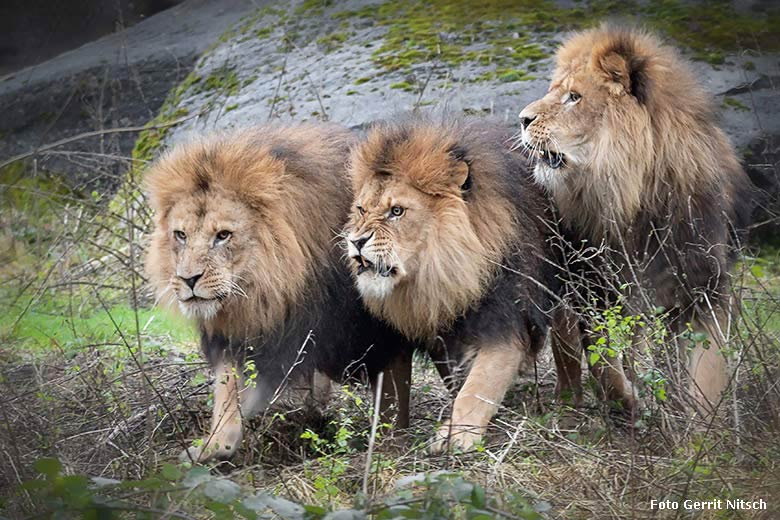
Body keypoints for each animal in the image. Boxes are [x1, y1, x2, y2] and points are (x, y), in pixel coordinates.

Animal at [145, 124, 414, 462]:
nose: (188, 279)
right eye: (180, 235)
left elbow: (393, 385)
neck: (267, 287)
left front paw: (389, 439)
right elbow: (227, 382)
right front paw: (216, 444)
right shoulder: (241, 327)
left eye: (223, 235)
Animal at [342, 118, 556, 450]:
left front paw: (458, 435)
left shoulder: (505, 322)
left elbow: (479, 384)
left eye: (397, 211)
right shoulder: (441, 331)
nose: (356, 241)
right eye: (362, 210)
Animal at [516, 26, 756, 416]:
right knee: (566, 344)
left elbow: (705, 371)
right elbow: (601, 356)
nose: (522, 119)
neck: (637, 199)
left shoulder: (703, 288)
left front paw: (702, 425)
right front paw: (626, 400)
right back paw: (568, 402)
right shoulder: (594, 286)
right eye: (554, 91)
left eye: (574, 97)